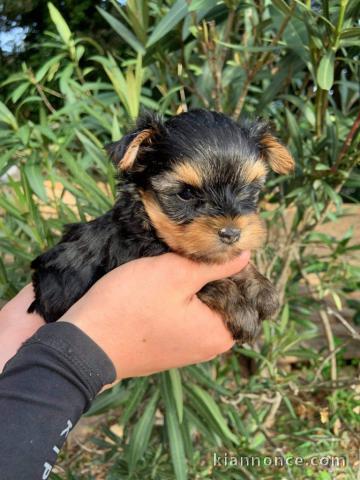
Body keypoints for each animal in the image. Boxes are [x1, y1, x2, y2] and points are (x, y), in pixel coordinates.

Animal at [27, 109, 292, 342]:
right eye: (185, 194)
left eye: (248, 189)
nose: (231, 233)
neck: (149, 227)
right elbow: (209, 282)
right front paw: (239, 307)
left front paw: (261, 287)